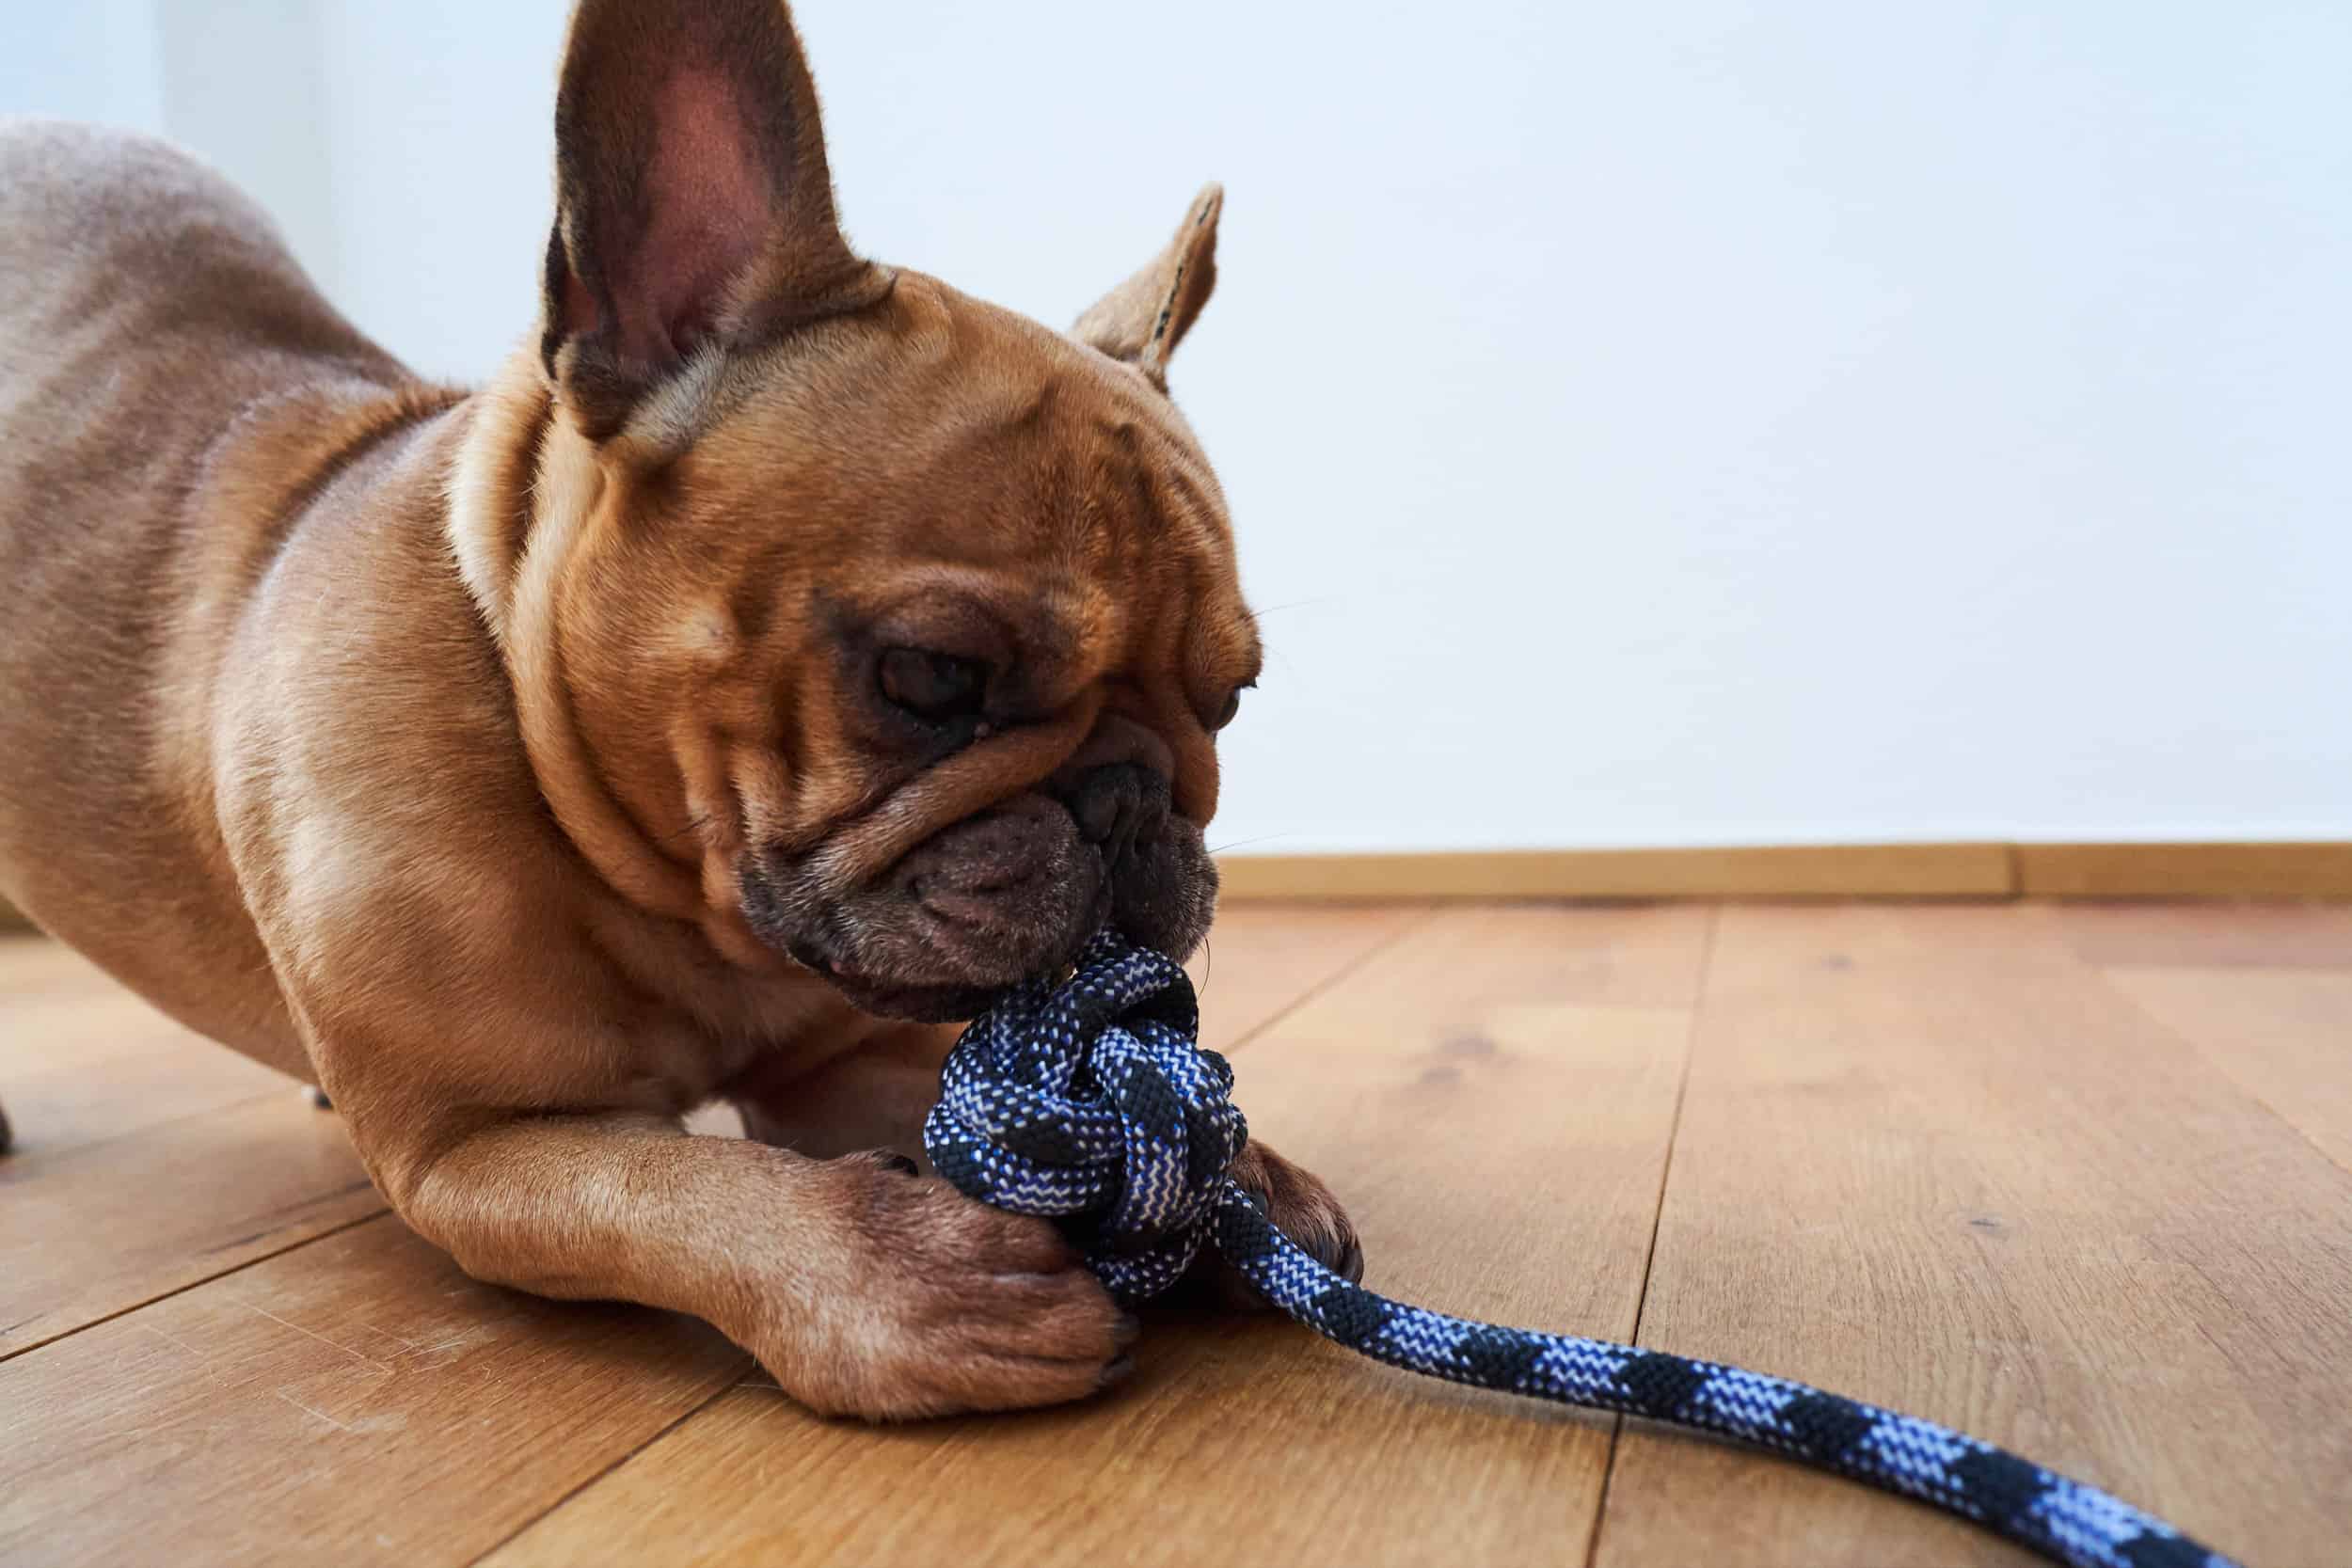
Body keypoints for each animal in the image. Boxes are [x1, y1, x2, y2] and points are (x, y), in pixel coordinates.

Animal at [0, 0, 1364, 1419]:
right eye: (931, 675)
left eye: (1230, 697)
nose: (1130, 798)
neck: (668, 890)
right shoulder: (479, 1146)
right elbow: (678, 1187)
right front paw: (912, 1281)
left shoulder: (832, 1056)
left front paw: (1236, 1173)